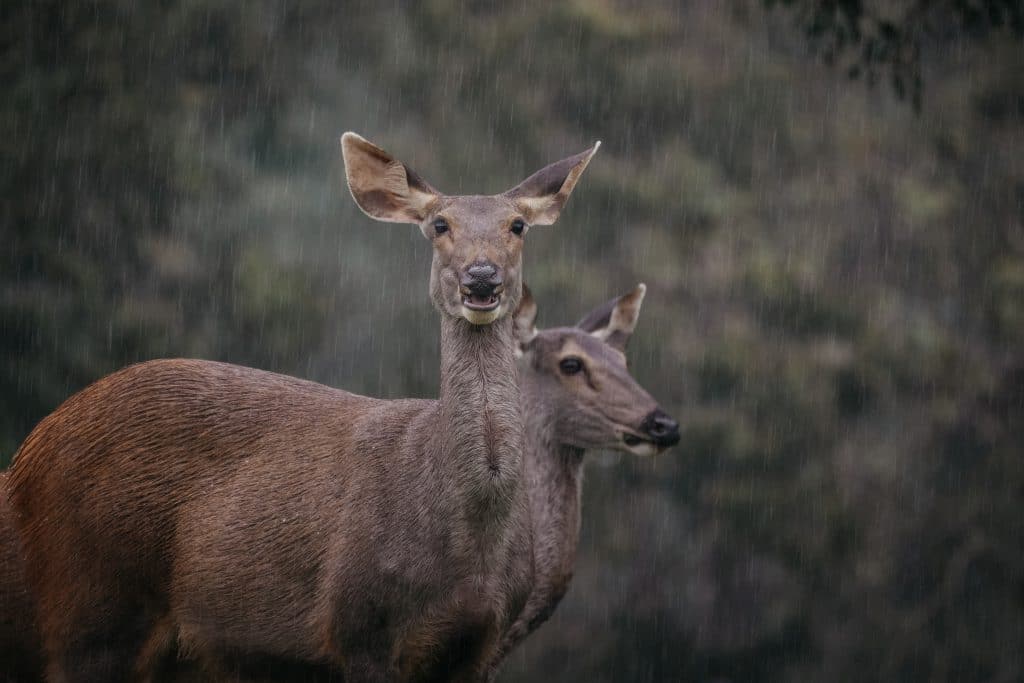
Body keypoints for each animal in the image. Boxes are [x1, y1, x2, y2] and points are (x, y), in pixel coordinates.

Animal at [6, 133, 598, 683]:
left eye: (517, 226)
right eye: (439, 225)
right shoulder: (357, 624)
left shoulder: (482, 642)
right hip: (88, 604)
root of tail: (22, 463)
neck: (469, 546)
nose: (481, 277)